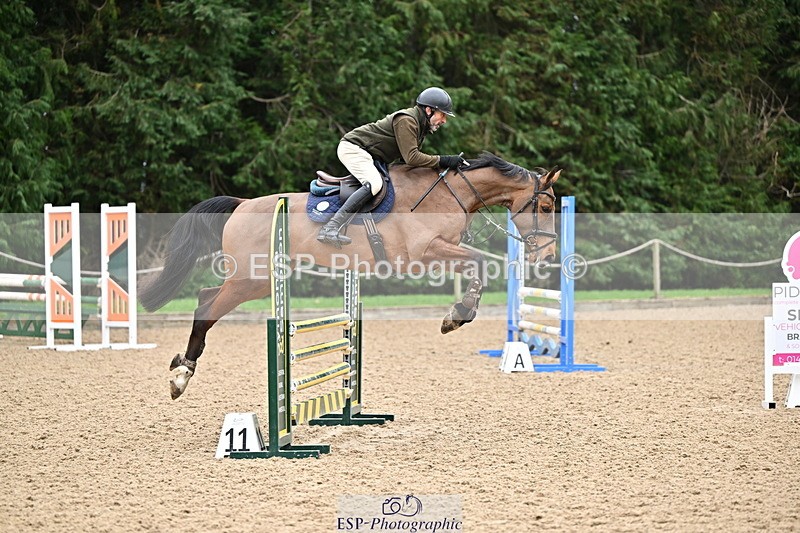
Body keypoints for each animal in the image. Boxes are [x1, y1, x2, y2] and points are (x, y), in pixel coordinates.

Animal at [140, 152, 561, 399]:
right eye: (544, 206)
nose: (548, 255)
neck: (448, 194)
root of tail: (242, 204)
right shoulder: (424, 254)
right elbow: (477, 263)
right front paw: (457, 315)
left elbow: (476, 264)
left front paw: (458, 313)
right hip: (251, 280)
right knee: (206, 308)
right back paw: (182, 375)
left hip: (252, 280)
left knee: (205, 296)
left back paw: (183, 369)